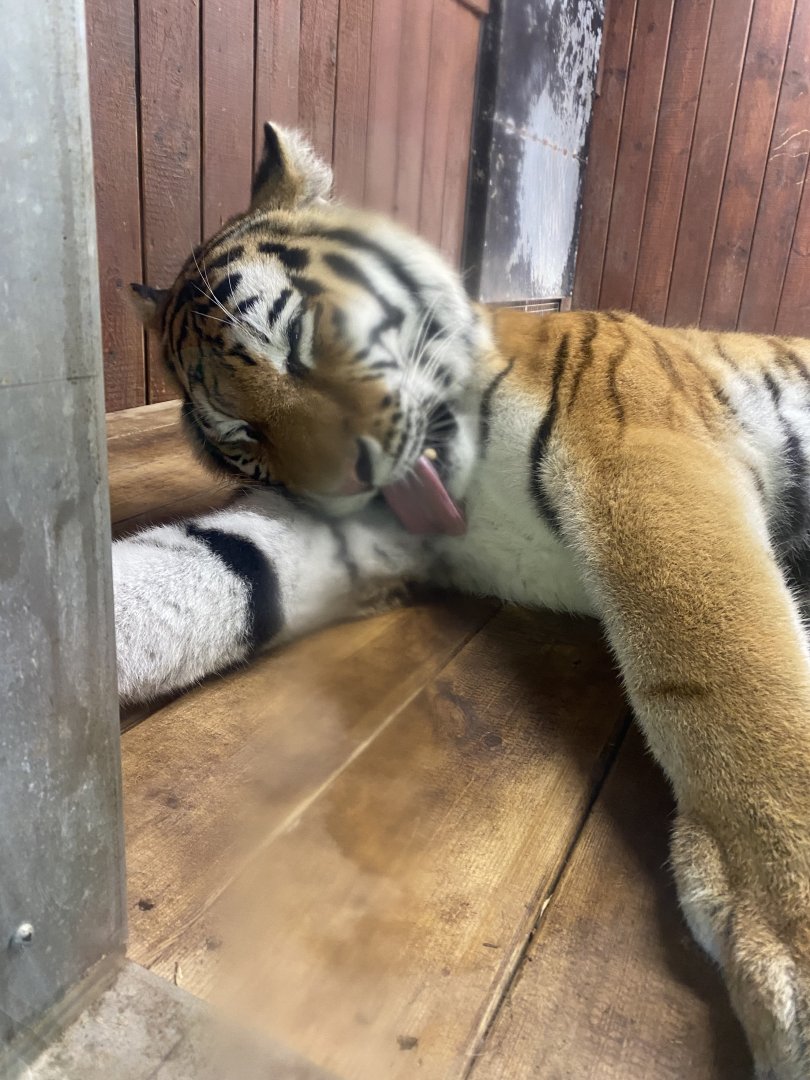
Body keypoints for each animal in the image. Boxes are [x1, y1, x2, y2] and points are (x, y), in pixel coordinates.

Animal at [115, 122, 810, 1078]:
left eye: (300, 342)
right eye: (241, 434)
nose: (340, 482)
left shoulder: (643, 455)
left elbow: (724, 658)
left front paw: (793, 949)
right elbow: (202, 568)